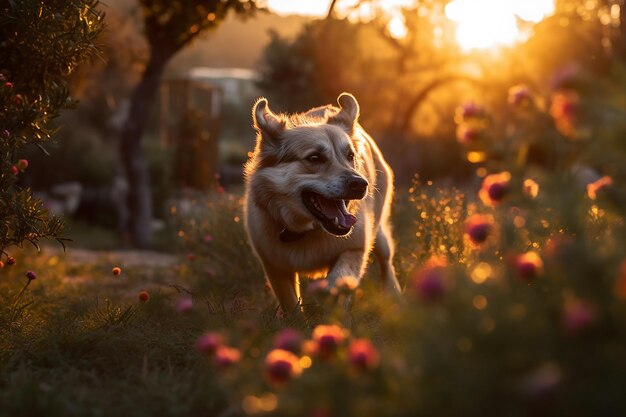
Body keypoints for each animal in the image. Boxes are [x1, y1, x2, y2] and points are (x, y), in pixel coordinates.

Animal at [241, 92, 398, 312]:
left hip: (380, 233)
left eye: (350, 156)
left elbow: (339, 278)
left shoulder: (355, 249)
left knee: (386, 262)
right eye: (315, 158)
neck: (307, 229)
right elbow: (291, 306)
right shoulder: (275, 267)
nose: (361, 184)